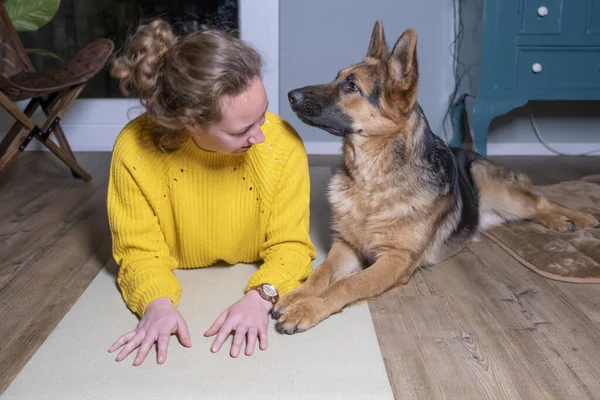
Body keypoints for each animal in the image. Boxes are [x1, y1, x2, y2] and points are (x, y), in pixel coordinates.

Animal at [272, 21, 600, 334]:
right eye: (336, 77)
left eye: (351, 86)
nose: (290, 95)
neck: (371, 182)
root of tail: (469, 153)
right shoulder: (346, 246)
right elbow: (322, 273)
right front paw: (294, 295)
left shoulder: (396, 260)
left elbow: (346, 284)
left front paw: (306, 309)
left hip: (502, 194)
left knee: (540, 201)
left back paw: (576, 218)